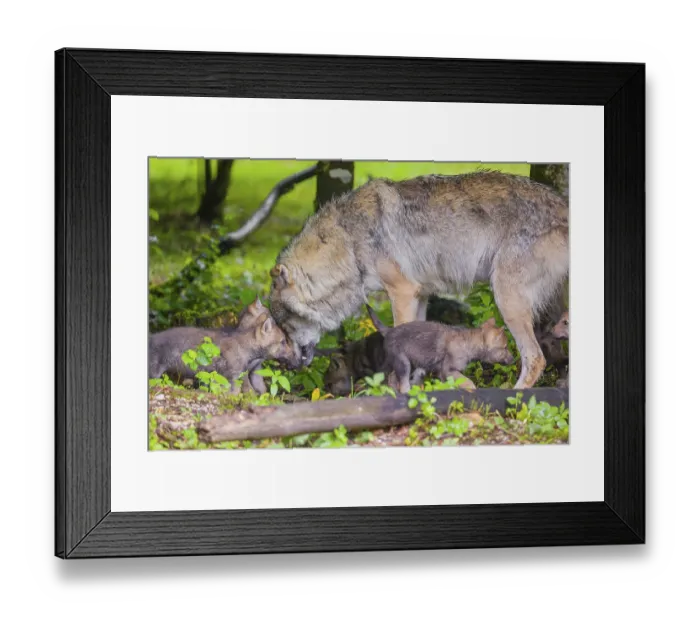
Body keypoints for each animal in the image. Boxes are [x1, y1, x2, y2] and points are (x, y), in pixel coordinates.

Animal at [268, 171, 568, 388]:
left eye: (284, 325)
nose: (284, 366)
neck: (349, 241)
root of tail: (563, 206)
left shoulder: (401, 292)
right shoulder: (420, 295)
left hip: (507, 299)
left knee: (535, 359)